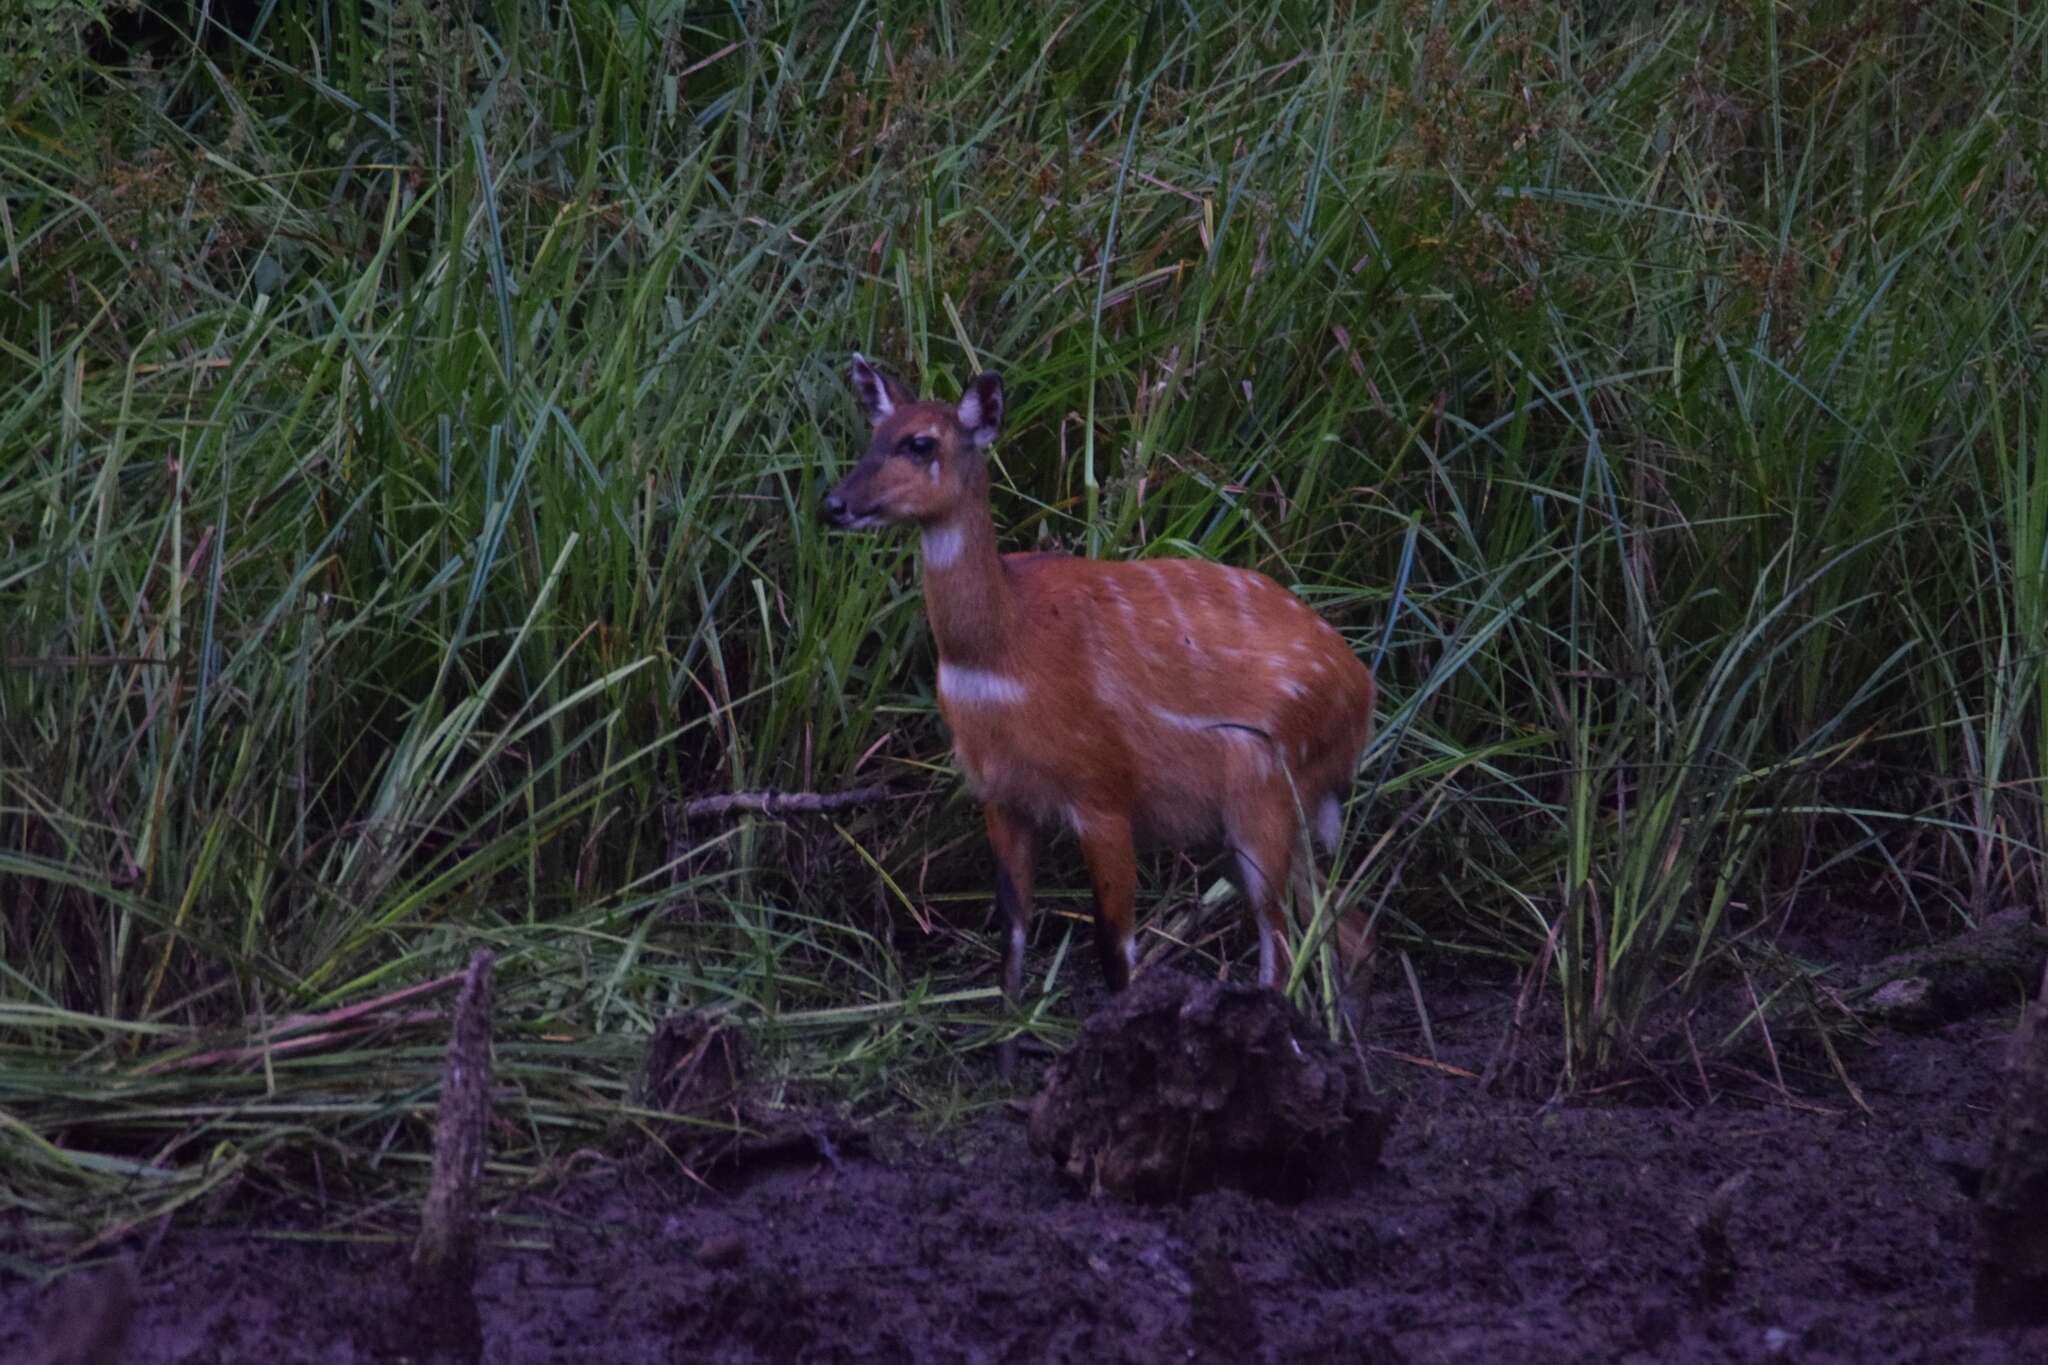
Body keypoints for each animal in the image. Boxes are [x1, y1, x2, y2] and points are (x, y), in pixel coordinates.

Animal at [819, 358, 1376, 1055]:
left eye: (921, 443)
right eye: (872, 433)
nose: (833, 504)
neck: (1006, 650)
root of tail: (1364, 693)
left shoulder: (1103, 793)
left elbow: (1115, 950)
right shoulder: (1001, 794)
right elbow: (1012, 939)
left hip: (1265, 794)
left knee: (1279, 946)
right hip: (1261, 820)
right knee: (1342, 927)